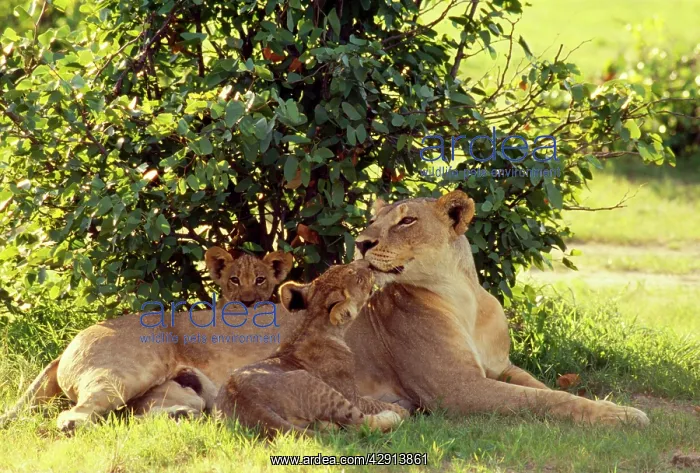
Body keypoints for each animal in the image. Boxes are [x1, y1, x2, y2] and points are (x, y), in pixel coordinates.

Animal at [213, 259, 408, 436]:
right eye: (359, 279)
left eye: (337, 266)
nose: (368, 263)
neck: (310, 324)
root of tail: (250, 404)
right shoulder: (350, 394)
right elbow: (373, 403)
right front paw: (398, 409)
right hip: (318, 387)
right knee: (360, 424)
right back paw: (395, 416)